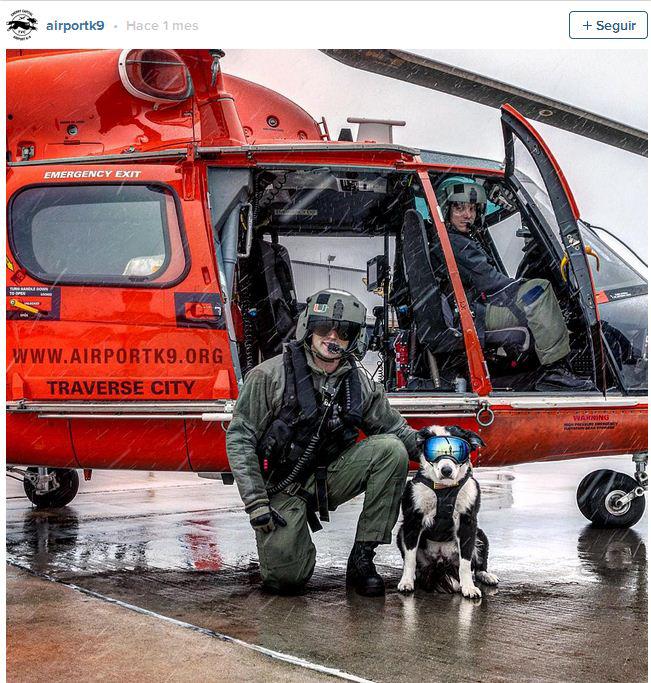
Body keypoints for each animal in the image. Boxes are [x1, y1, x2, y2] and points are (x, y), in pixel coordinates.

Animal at [397, 425, 498, 599]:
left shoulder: (467, 523)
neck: (444, 489)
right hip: (401, 533)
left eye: (458, 451)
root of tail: (441, 563)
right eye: (434, 451)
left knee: (478, 564)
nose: (446, 470)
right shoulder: (412, 521)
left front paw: (469, 587)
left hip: (480, 535)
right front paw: (406, 582)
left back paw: (486, 575)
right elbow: (410, 558)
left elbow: (466, 561)